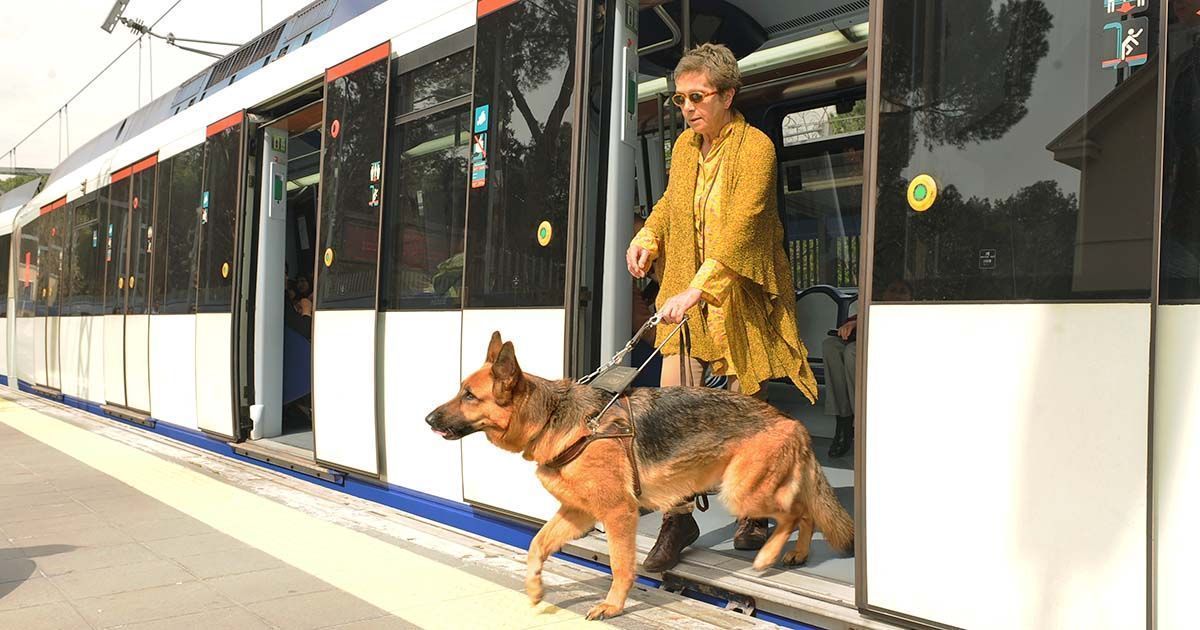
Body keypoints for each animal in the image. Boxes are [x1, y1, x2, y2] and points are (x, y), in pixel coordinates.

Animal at [424, 333, 854, 619]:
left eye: (469, 396)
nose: (427, 419)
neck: (554, 419)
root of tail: (790, 421)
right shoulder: (577, 514)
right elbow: (536, 545)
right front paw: (534, 588)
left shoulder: (618, 514)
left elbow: (620, 565)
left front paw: (613, 606)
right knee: (805, 512)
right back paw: (798, 553)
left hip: (741, 492)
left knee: (791, 515)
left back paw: (769, 554)